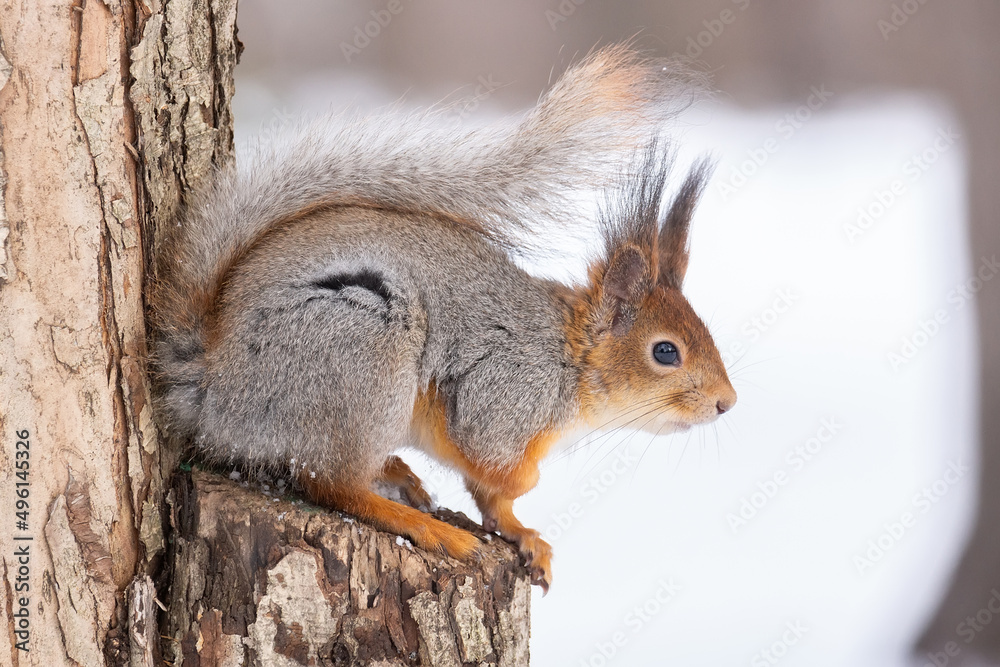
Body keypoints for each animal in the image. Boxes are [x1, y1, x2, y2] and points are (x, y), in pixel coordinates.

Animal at [151, 44, 736, 592]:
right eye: (666, 351)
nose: (726, 403)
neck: (570, 360)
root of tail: (214, 384)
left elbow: (494, 502)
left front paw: (525, 536)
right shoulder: (503, 395)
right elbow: (491, 463)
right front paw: (525, 486)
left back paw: (398, 474)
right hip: (362, 358)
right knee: (331, 484)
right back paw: (425, 525)